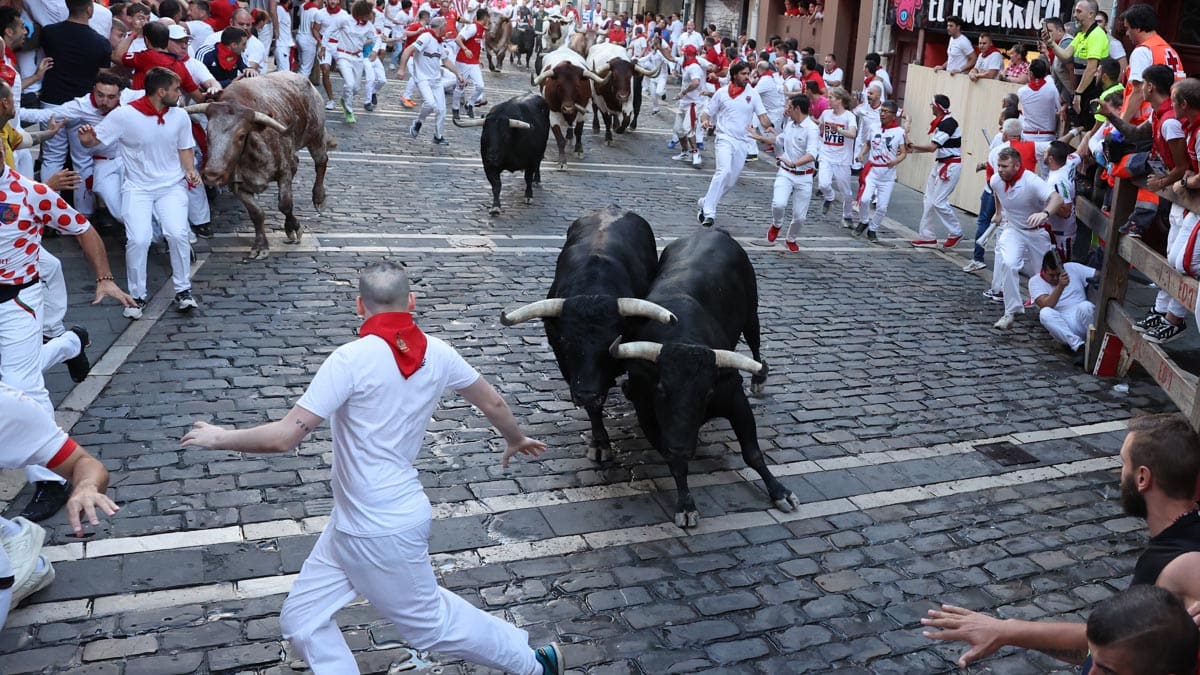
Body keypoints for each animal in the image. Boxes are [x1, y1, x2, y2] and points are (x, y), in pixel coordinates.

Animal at [187, 70, 338, 254]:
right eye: (208, 131)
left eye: (241, 135)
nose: (212, 175)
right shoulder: (237, 186)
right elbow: (256, 213)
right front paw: (260, 245)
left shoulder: (284, 172)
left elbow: (285, 204)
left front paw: (293, 228)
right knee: (297, 162)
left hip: (316, 135)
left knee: (321, 161)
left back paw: (319, 198)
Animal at [609, 225, 796, 526]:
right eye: (660, 389)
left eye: (707, 392)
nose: (682, 447)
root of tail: (713, 230)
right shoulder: (646, 411)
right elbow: (674, 463)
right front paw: (685, 504)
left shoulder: (734, 398)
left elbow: (753, 453)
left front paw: (779, 491)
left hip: (752, 311)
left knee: (755, 342)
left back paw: (759, 379)